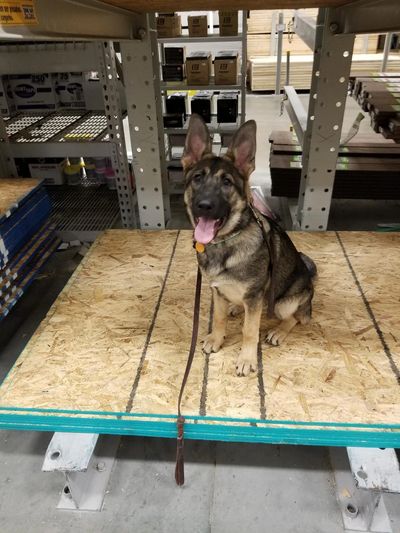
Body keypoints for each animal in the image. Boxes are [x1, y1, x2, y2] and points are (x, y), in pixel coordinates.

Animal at [181, 114, 316, 376]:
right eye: (197, 178)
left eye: (226, 182)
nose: (204, 206)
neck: (226, 241)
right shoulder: (217, 290)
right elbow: (220, 318)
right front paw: (217, 339)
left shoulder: (254, 297)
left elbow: (249, 331)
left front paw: (246, 358)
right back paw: (237, 307)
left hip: (284, 303)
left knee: (294, 317)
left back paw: (278, 331)